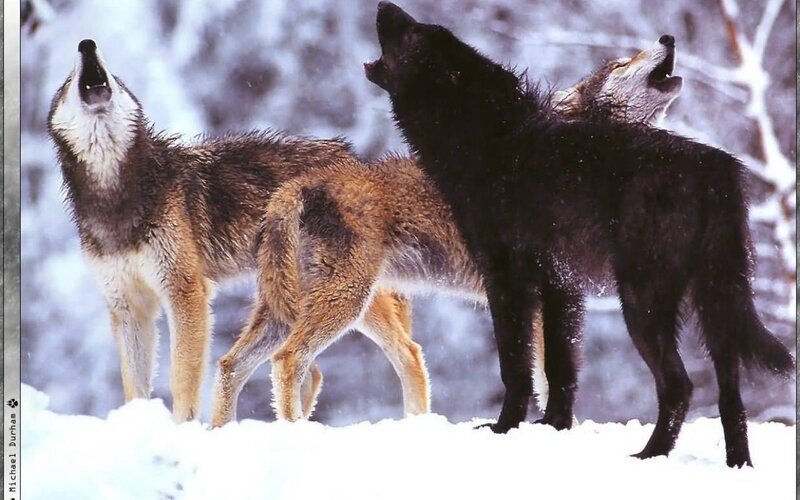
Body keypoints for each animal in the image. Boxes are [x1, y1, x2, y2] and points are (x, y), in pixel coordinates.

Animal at [47, 39, 430, 423]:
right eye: (67, 82)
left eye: (114, 76)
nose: (86, 44)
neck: (116, 196)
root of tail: (358, 161)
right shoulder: (128, 306)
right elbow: (134, 388)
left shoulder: (185, 292)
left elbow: (182, 380)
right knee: (304, 370)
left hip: (349, 296)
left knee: (408, 353)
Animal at [217, 37, 685, 425]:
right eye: (622, 62)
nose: (667, 38)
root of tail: (299, 185)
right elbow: (549, 376)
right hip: (346, 301)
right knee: (288, 359)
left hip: (293, 307)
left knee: (231, 365)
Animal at [362, 2, 793, 467]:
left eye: (414, 34)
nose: (383, 6)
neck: (487, 142)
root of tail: (717, 166)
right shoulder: (560, 287)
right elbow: (559, 367)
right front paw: (553, 426)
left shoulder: (508, 282)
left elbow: (515, 366)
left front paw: (503, 428)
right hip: (715, 302)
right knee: (731, 393)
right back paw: (737, 466)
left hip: (643, 302)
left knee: (679, 385)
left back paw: (650, 455)